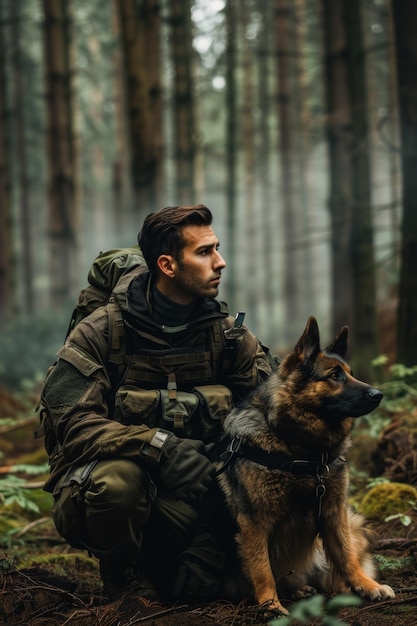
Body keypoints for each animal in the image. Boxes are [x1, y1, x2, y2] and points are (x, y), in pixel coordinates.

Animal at [218, 314, 394, 612]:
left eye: (351, 373)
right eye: (334, 375)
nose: (379, 395)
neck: (299, 447)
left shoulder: (334, 513)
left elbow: (347, 556)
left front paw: (367, 585)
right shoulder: (253, 521)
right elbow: (262, 568)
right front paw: (270, 604)